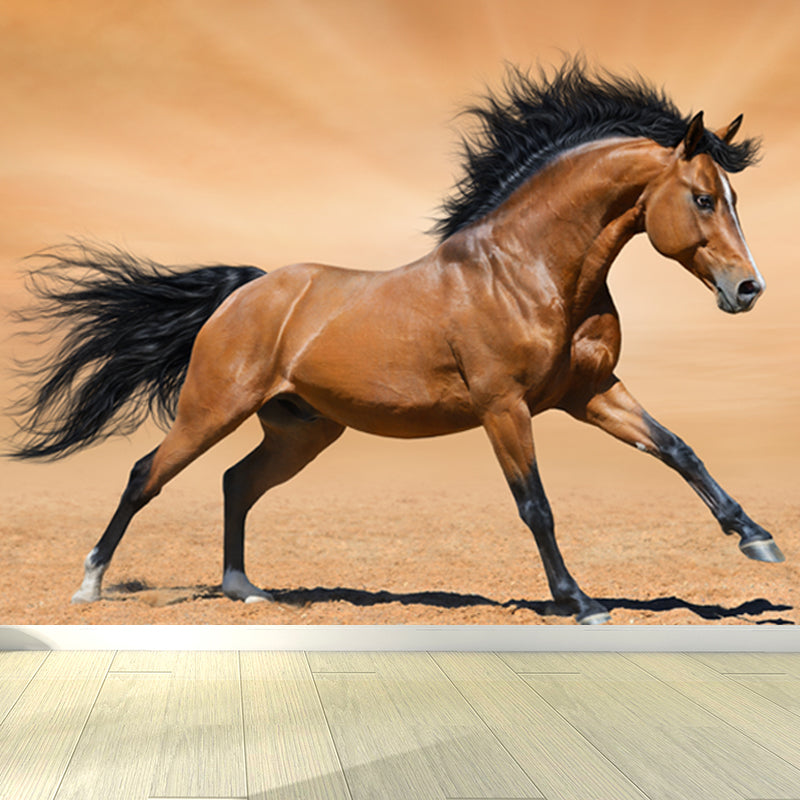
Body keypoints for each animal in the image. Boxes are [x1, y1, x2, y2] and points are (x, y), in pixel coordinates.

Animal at [9, 61, 784, 624]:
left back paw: (245, 589)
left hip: (302, 430)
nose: (749, 289)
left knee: (236, 482)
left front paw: (757, 539)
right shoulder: (505, 407)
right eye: (704, 198)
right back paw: (90, 586)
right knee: (147, 474)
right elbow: (535, 504)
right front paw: (580, 602)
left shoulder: (591, 393)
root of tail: (246, 291)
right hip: (211, 409)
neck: (530, 271)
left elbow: (679, 449)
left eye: (734, 198)